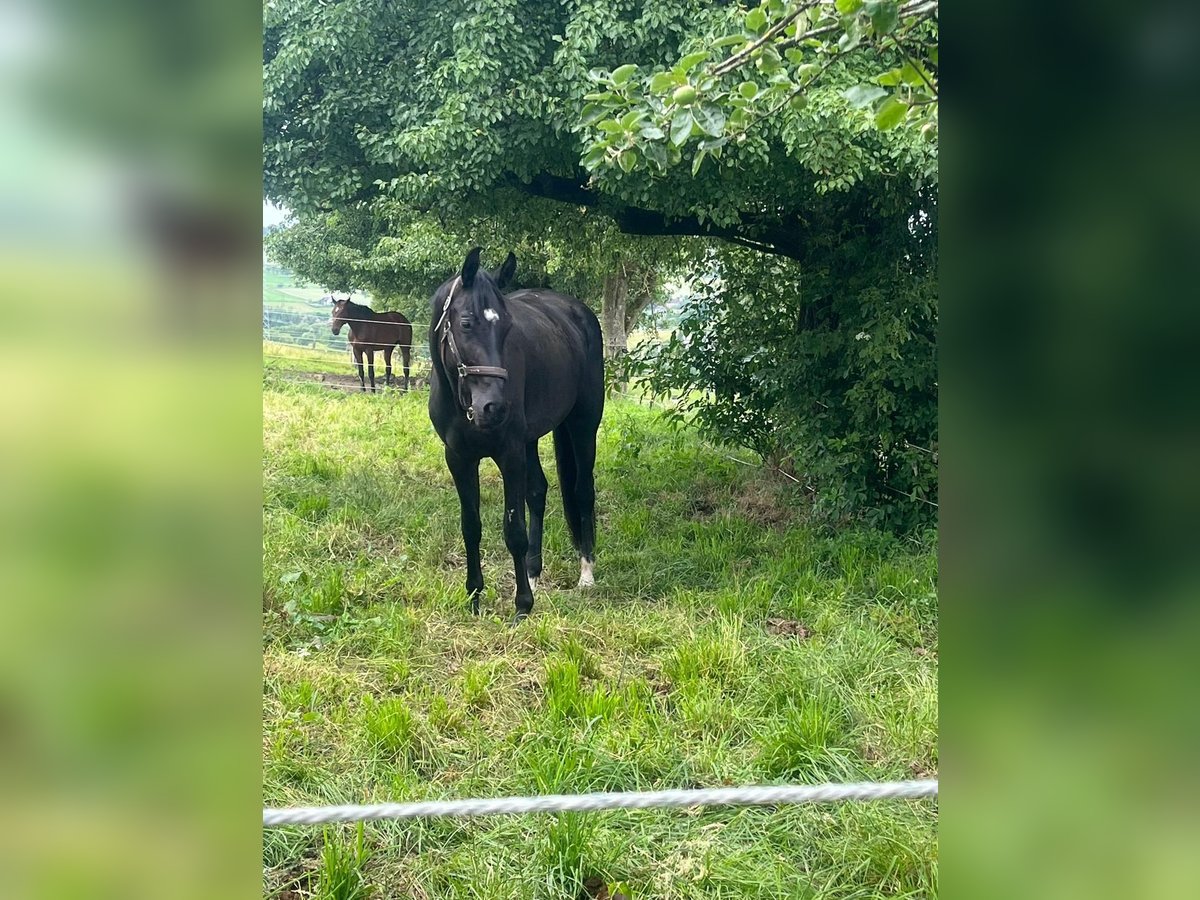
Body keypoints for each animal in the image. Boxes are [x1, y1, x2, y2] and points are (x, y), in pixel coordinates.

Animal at [427, 250, 604, 624]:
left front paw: (522, 605)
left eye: (508, 326)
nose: (494, 407)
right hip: (530, 440)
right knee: (538, 492)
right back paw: (534, 574)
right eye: (466, 323)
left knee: (583, 490)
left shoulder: (509, 454)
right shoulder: (459, 458)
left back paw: (586, 574)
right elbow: (471, 527)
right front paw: (474, 597)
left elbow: (514, 530)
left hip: (583, 424)